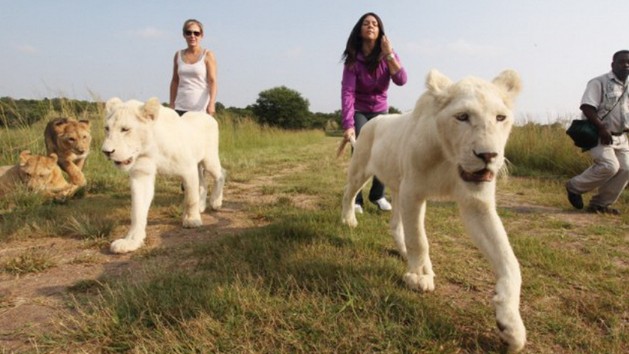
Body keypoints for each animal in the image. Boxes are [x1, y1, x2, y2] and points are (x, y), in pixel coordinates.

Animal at [103, 97, 228, 254]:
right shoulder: (141, 174)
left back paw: (216, 202)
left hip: (209, 160)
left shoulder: (188, 169)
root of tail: (207, 116)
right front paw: (131, 241)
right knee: (203, 184)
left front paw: (192, 220)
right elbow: (137, 210)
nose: (106, 151)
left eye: (125, 129)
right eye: (107, 129)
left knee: (221, 173)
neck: (151, 149)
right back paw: (202, 206)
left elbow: (190, 199)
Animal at [340, 70, 524, 352]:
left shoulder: (476, 203)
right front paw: (418, 277)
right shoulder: (414, 192)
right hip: (361, 168)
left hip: (398, 185)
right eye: (462, 117)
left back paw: (404, 251)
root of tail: (375, 121)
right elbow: (419, 240)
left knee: (395, 224)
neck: (449, 158)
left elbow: (509, 260)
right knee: (349, 193)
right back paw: (348, 219)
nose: (488, 155)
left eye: (500, 117)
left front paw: (511, 326)